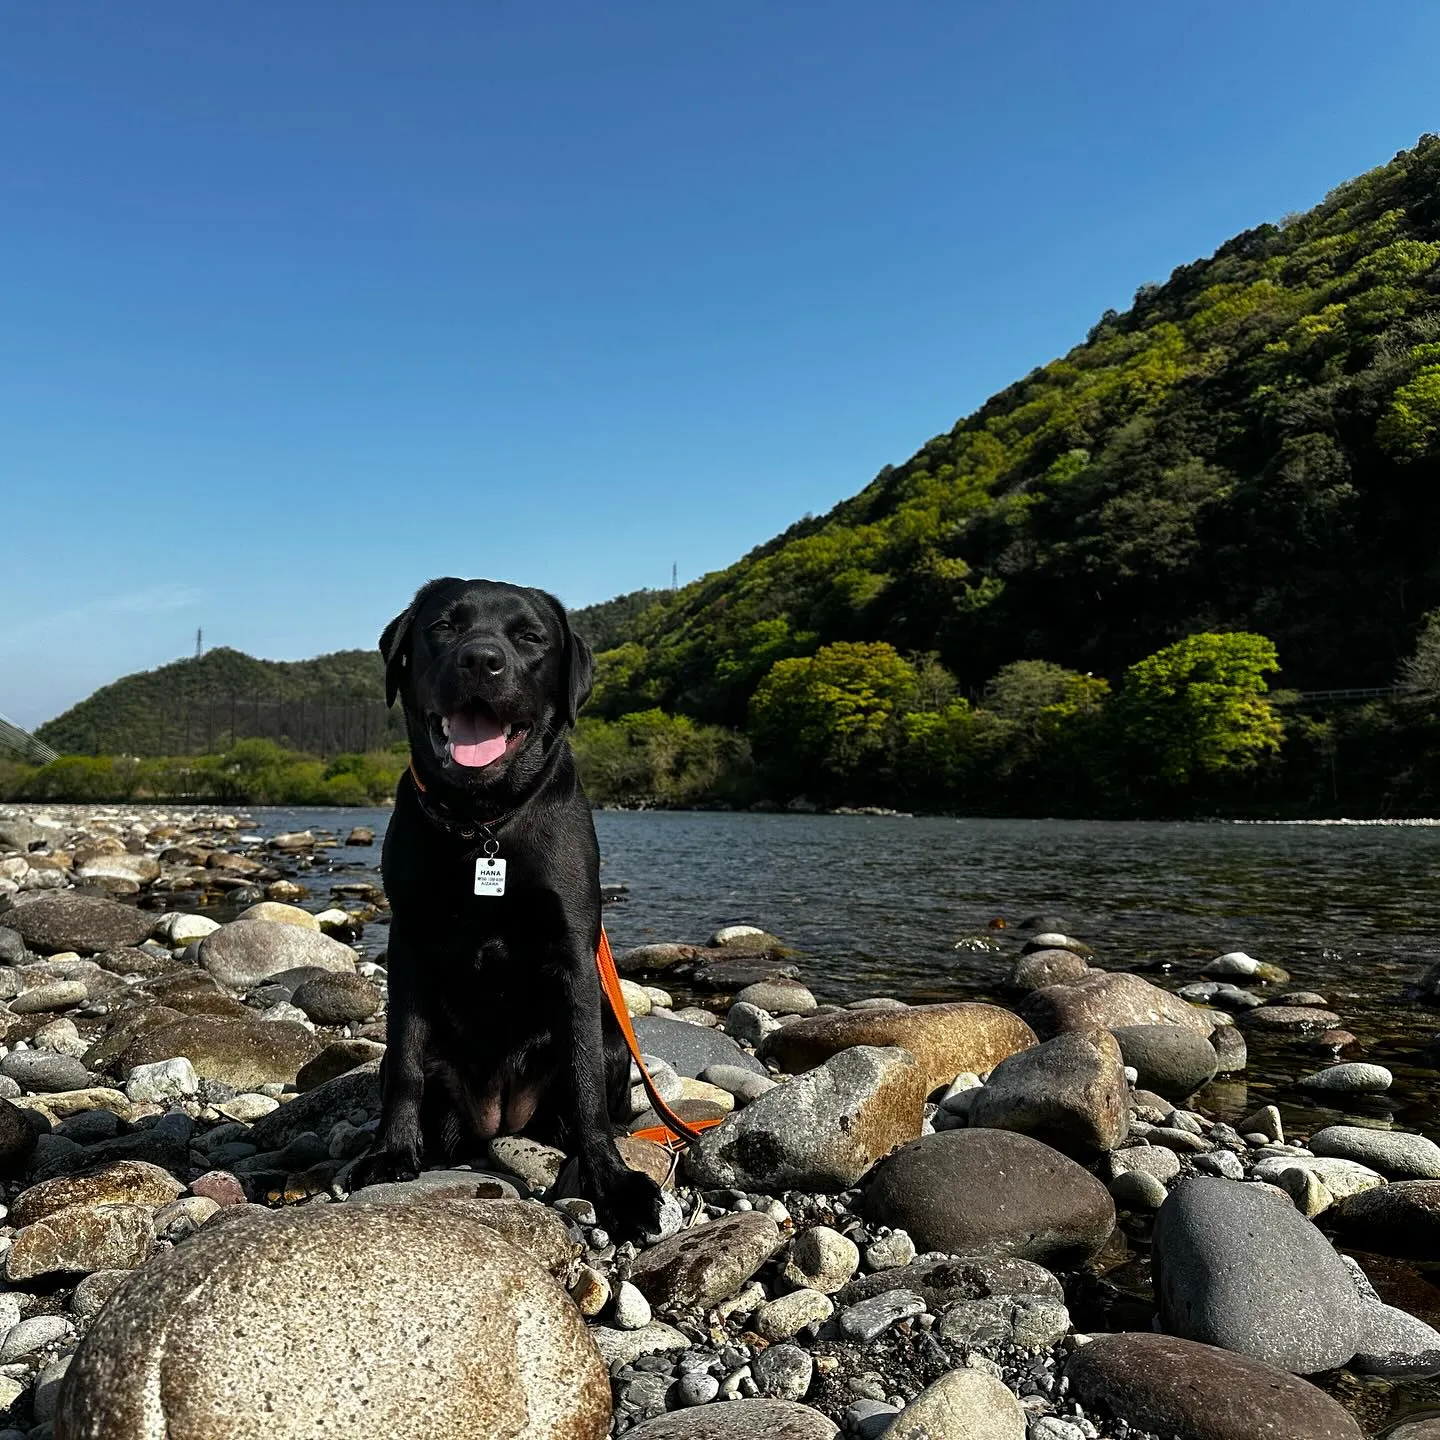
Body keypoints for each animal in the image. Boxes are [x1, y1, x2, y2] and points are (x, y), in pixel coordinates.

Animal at [351, 576, 665, 1238]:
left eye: (530, 637)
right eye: (444, 626)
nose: (480, 660)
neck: (484, 824)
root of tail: (501, 1118)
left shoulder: (573, 950)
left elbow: (583, 1080)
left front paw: (613, 1183)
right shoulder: (408, 945)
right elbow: (407, 1064)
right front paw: (390, 1152)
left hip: (611, 1040)